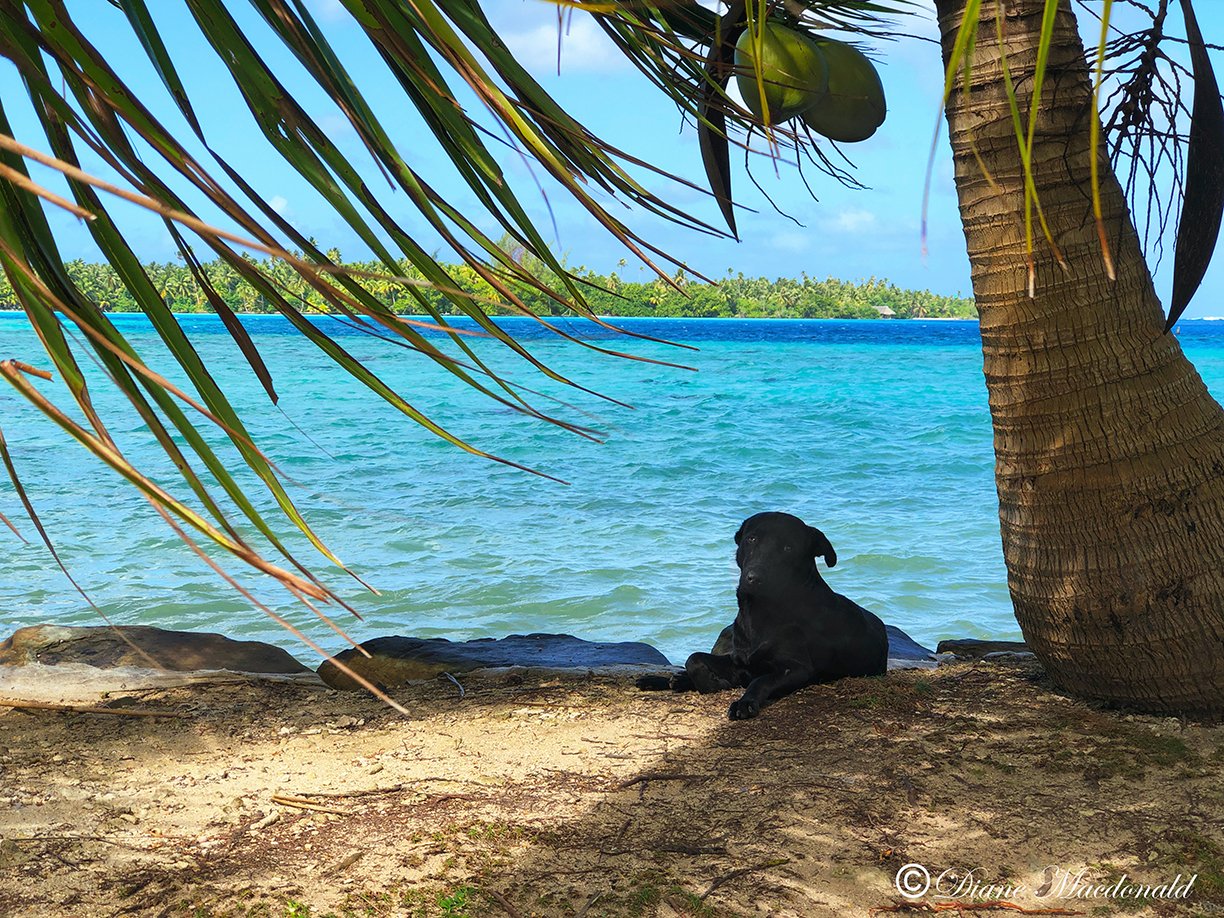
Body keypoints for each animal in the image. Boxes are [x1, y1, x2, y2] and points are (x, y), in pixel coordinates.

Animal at [641, 514, 891, 724]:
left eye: (788, 547)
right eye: (752, 539)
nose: (755, 578)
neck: (761, 612)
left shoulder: (797, 669)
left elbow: (761, 680)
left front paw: (744, 702)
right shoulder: (738, 660)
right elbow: (693, 658)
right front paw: (710, 683)